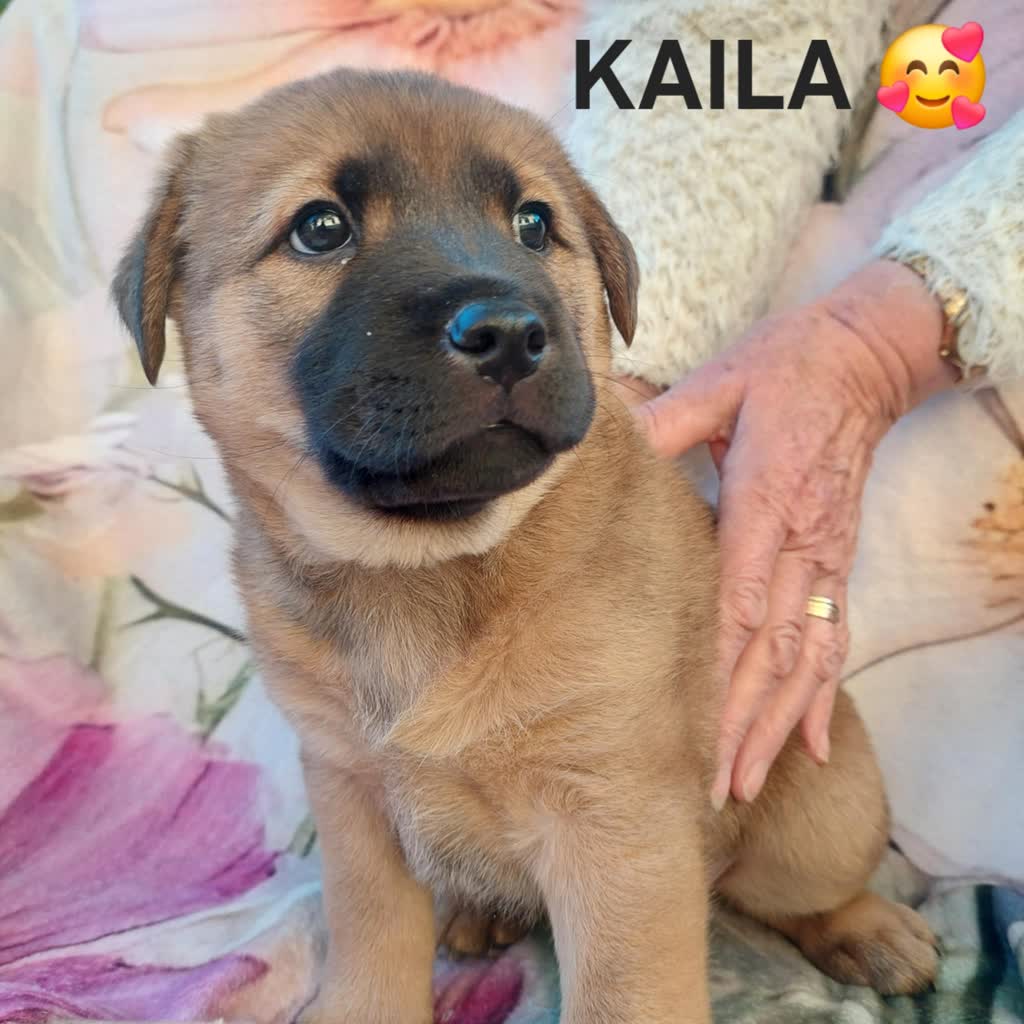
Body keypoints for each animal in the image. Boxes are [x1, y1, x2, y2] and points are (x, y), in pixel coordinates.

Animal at [113, 69, 938, 1023]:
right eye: (320, 228)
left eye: (534, 225)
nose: (508, 332)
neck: (426, 572)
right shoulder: (350, 793)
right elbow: (370, 938)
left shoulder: (614, 825)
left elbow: (623, 995)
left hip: (819, 816)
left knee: (795, 891)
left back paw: (868, 928)